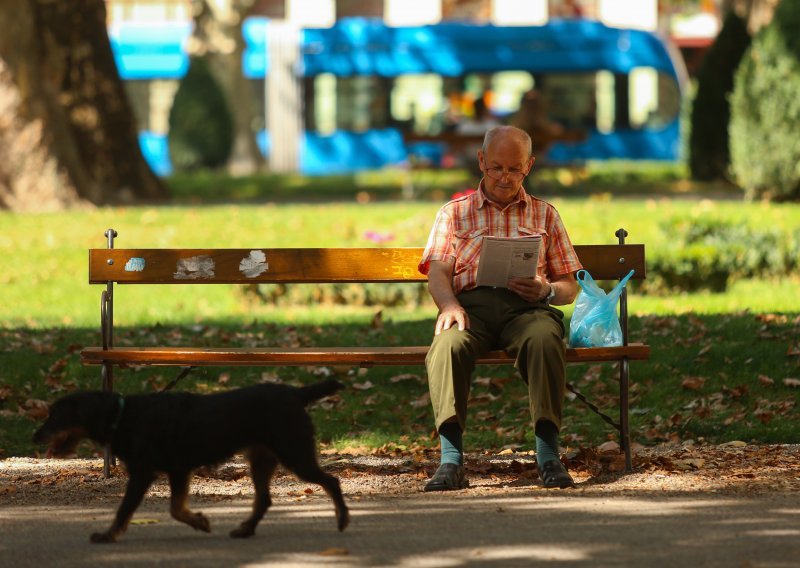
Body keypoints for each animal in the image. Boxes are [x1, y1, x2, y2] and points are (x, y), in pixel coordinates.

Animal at [32, 380, 350, 544]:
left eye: (56, 416)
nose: (34, 436)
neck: (123, 416)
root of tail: (296, 393)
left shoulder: (143, 473)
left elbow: (124, 510)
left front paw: (108, 535)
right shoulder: (178, 470)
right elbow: (176, 509)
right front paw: (200, 521)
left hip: (294, 453)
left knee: (331, 481)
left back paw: (343, 518)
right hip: (262, 458)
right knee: (264, 499)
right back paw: (245, 529)